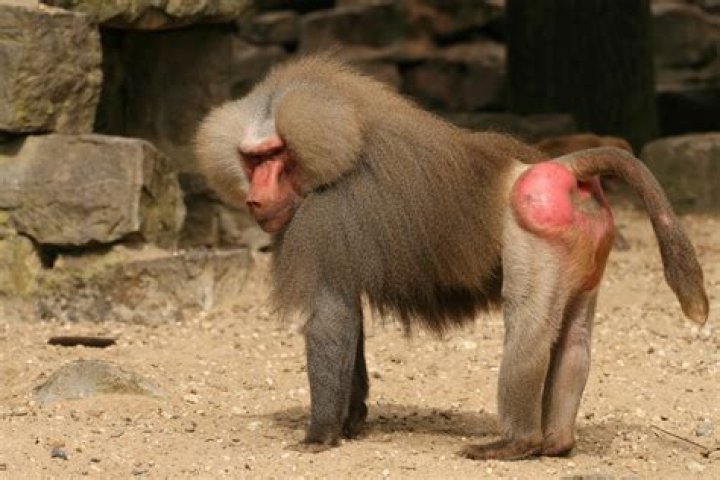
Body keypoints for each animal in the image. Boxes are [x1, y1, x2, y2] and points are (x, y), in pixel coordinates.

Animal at [195, 55, 708, 460]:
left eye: (274, 156)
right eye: (252, 160)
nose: (255, 200)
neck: (343, 145)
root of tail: (562, 166)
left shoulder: (325, 219)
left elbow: (332, 320)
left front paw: (319, 437)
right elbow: (351, 327)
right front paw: (352, 421)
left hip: (534, 234)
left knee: (528, 329)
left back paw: (514, 444)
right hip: (586, 250)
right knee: (575, 339)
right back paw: (557, 443)